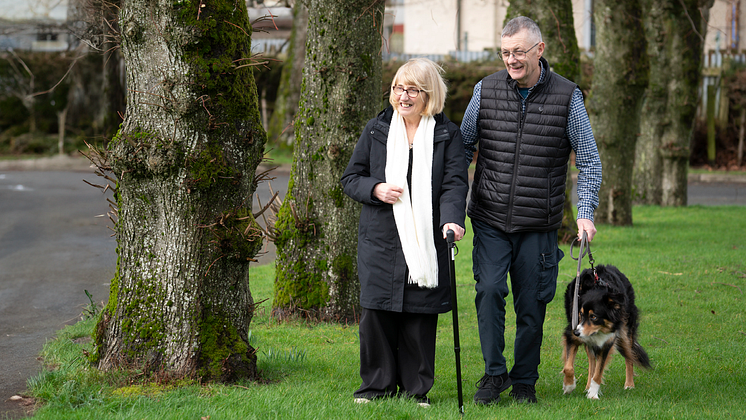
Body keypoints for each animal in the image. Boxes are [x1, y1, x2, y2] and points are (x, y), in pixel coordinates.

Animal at [560, 264, 648, 398]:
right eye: (580, 314)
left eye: (594, 317)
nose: (577, 333)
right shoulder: (572, 335)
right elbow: (569, 367)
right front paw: (569, 386)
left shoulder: (608, 341)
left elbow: (599, 371)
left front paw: (593, 394)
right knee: (592, 361)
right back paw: (587, 386)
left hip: (627, 331)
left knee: (629, 356)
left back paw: (629, 384)